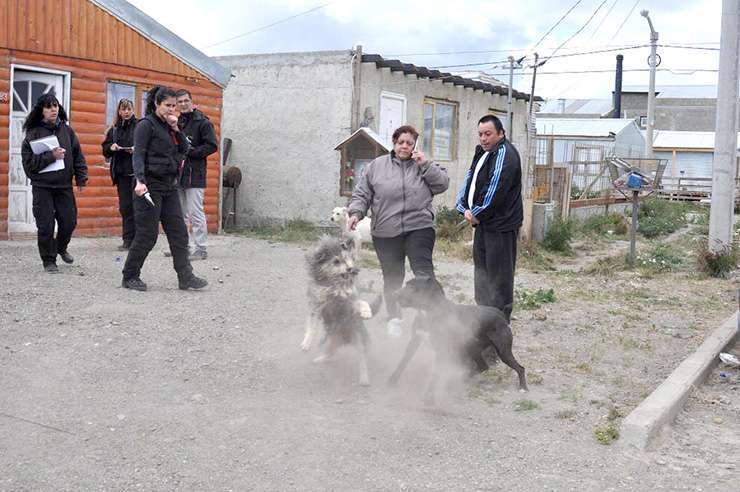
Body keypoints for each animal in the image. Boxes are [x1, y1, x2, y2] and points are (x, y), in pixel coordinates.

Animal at [300, 236, 382, 386]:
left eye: (351, 259)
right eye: (336, 261)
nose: (352, 270)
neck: (335, 286)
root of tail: (345, 339)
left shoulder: (349, 302)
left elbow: (362, 302)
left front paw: (366, 312)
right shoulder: (317, 305)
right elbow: (312, 326)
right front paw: (307, 342)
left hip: (359, 340)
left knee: (362, 359)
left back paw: (364, 378)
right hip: (331, 342)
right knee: (331, 353)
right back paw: (320, 359)